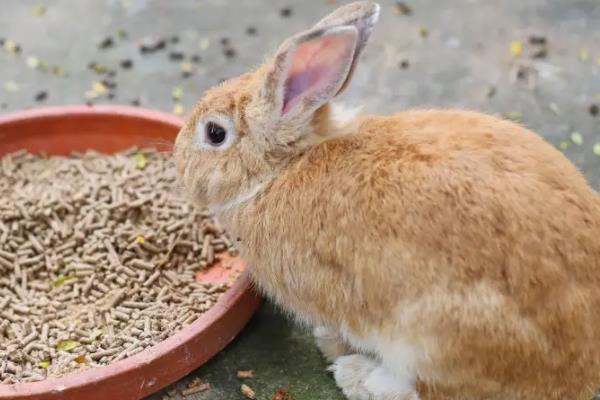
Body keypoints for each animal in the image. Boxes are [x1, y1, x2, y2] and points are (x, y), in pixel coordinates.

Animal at [176, 1, 600, 398]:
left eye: (214, 133)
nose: (179, 162)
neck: (280, 170)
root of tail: (584, 369)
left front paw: (330, 343)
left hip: (433, 338)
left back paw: (355, 375)